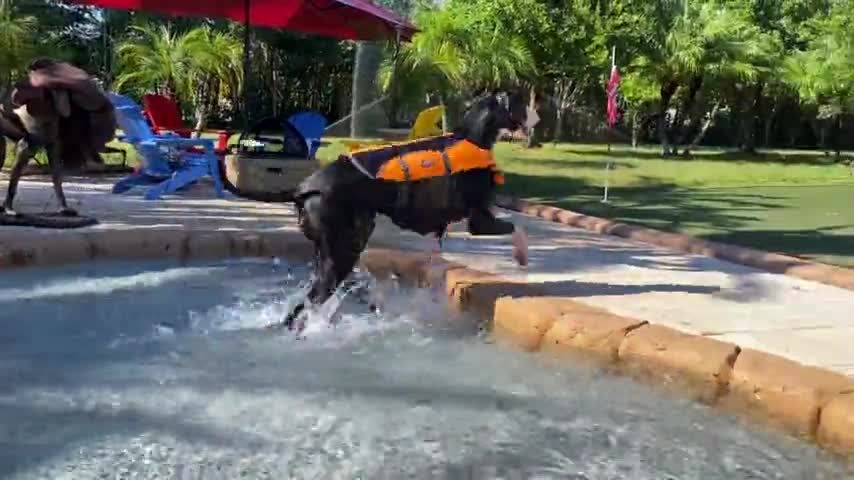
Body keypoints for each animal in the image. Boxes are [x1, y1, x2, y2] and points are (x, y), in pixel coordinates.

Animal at [224, 91, 532, 330]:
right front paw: (522, 255)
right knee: (311, 301)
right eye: (521, 101)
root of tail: (304, 188)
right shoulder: (480, 221)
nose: (536, 117)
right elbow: (518, 228)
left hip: (334, 247)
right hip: (341, 253)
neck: (473, 136)